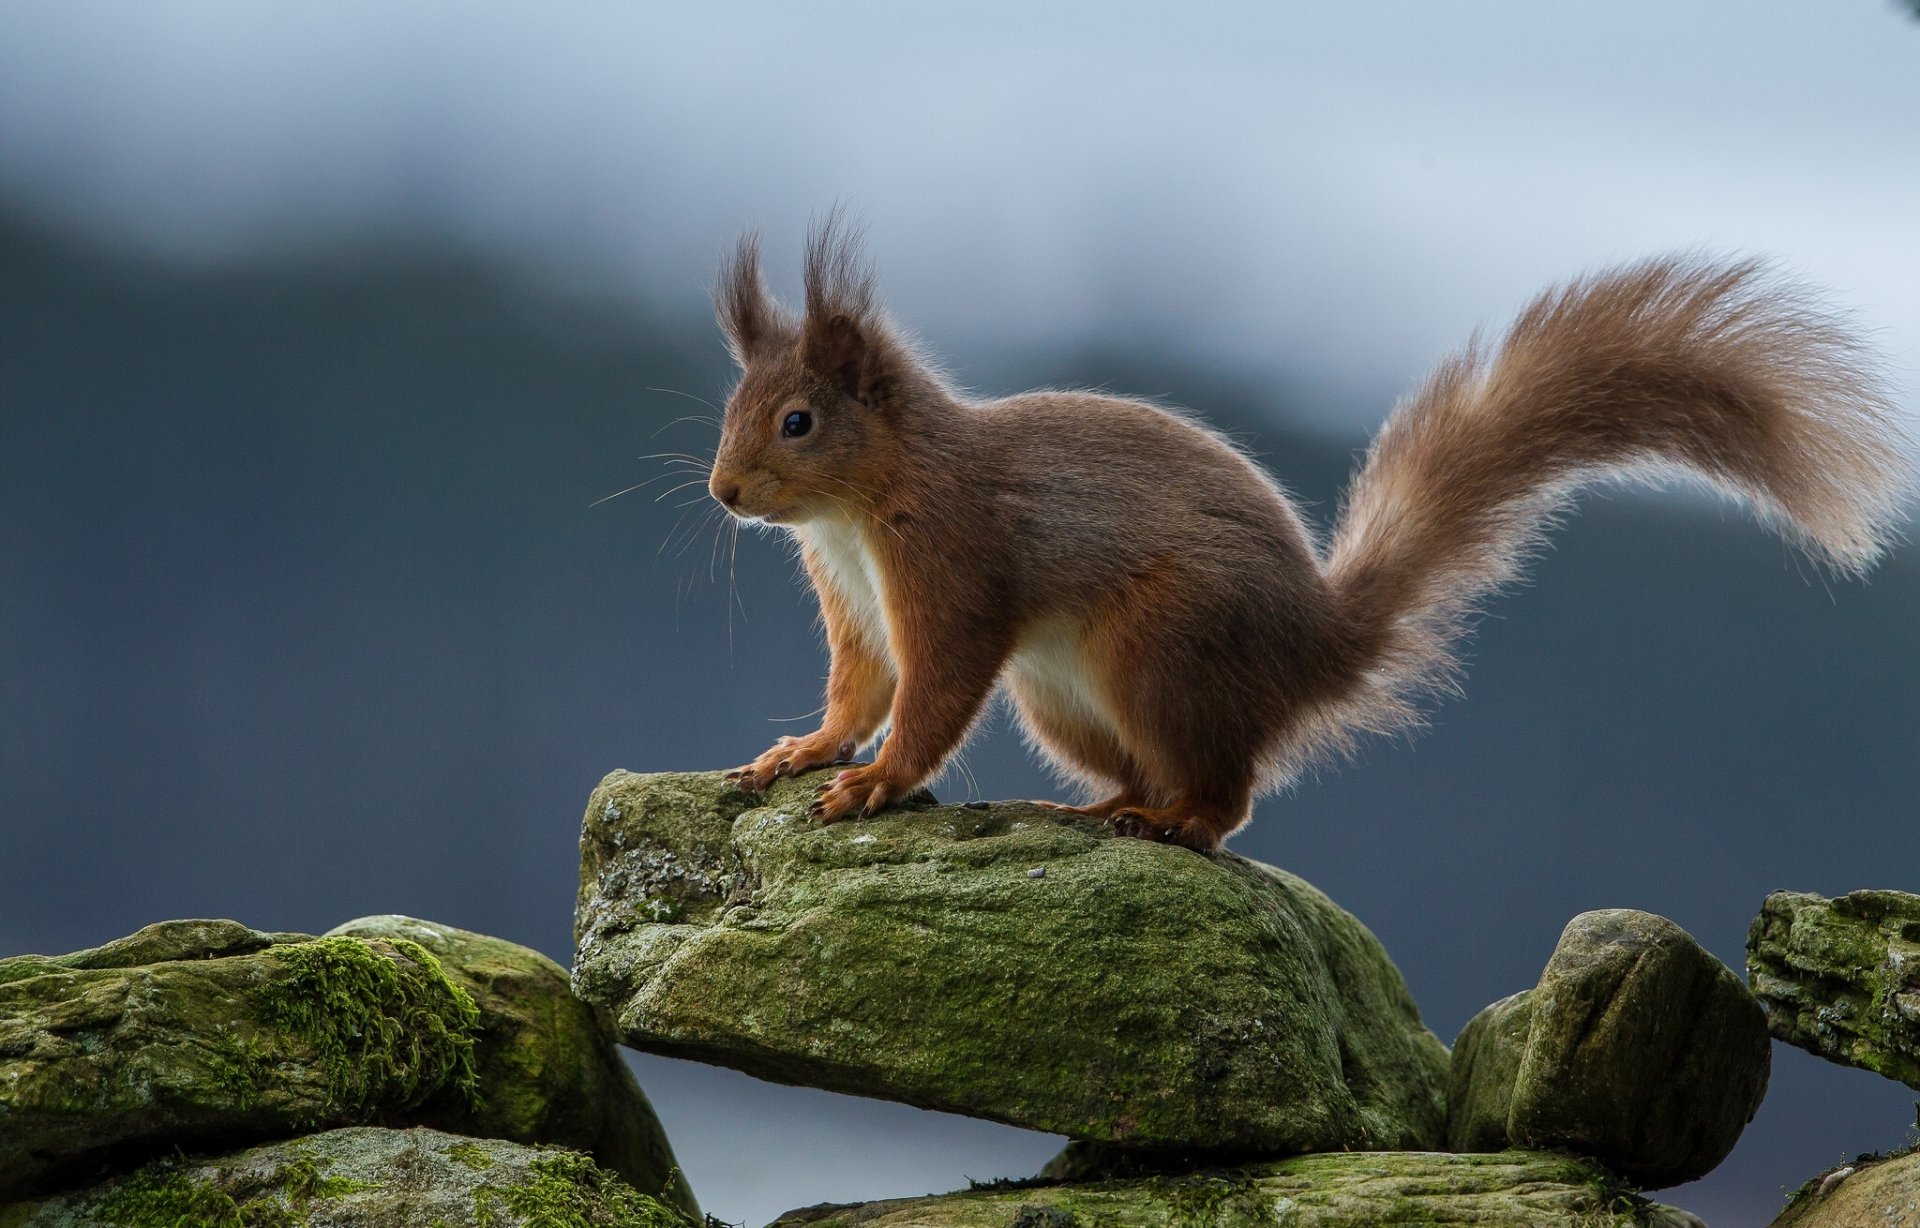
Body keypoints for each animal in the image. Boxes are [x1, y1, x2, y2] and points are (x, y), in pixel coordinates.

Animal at [702, 222, 1904, 851]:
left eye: (797, 421)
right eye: (731, 408)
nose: (724, 491)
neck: (860, 511)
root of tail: (1315, 649)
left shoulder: (951, 562)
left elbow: (935, 689)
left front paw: (876, 783)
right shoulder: (856, 600)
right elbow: (860, 687)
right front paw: (807, 750)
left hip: (1157, 649)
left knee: (1228, 793)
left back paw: (1176, 824)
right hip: (1067, 699)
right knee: (1160, 771)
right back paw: (1113, 806)